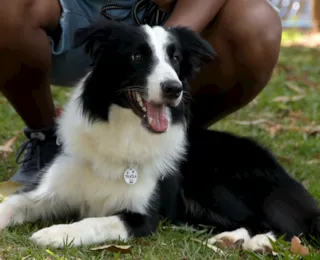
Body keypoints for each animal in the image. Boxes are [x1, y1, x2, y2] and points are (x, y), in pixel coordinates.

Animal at [0, 18, 320, 254]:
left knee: (280, 225)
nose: (173, 89)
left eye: (175, 58)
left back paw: (247, 241)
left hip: (216, 181)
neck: (124, 132)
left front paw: (55, 234)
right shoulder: (48, 191)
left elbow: (94, 222)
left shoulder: (141, 217)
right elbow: (11, 204)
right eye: (137, 56)